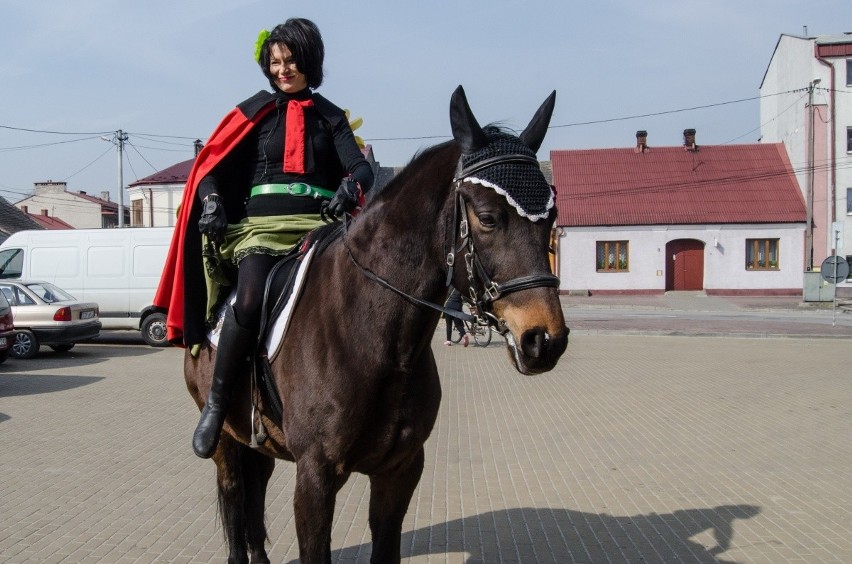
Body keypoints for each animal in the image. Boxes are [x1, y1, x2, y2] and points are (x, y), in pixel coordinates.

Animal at [187, 86, 572, 560]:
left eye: (551, 218)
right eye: (487, 218)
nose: (544, 339)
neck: (378, 339)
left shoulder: (400, 469)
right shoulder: (315, 476)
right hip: (226, 440)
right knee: (236, 502)